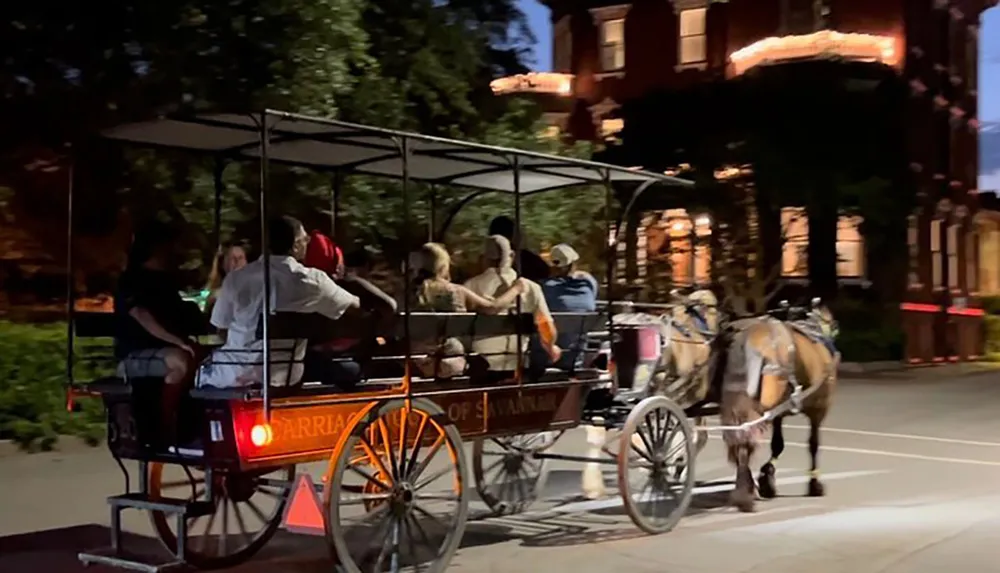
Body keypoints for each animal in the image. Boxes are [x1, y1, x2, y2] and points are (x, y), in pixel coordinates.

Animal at [720, 302, 836, 512]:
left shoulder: (779, 414)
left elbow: (777, 444)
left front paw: (767, 478)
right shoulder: (819, 410)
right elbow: (813, 444)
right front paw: (814, 484)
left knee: (740, 437)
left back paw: (744, 489)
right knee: (747, 435)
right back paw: (745, 493)